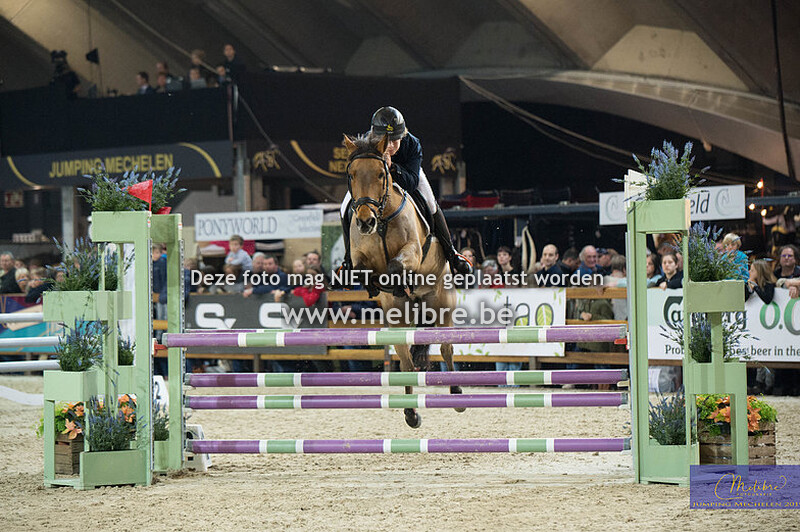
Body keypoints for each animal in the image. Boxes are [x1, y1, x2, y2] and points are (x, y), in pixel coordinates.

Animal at [343, 133, 462, 428]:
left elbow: (396, 264)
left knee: (446, 347)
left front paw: (396, 279)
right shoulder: (360, 257)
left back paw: (456, 394)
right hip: (398, 320)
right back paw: (410, 413)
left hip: (443, 305)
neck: (383, 221)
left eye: (381, 174)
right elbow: (362, 270)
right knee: (406, 361)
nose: (365, 222)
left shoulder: (413, 252)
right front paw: (378, 284)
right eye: (351, 174)